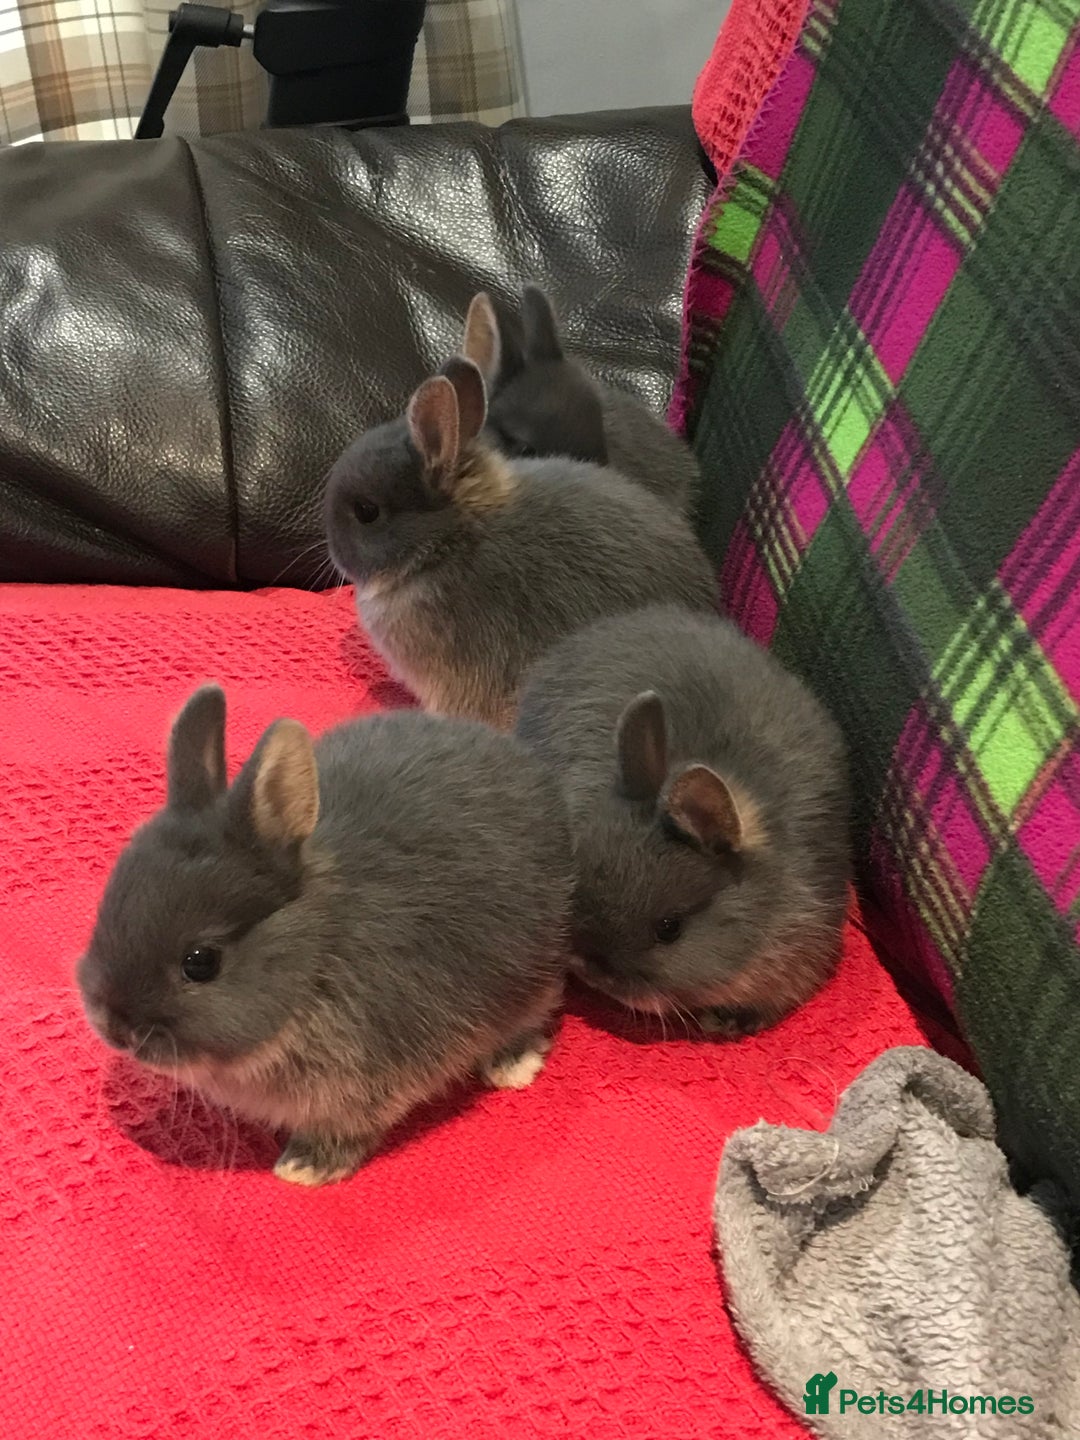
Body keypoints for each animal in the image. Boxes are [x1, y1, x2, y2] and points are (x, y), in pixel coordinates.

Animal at [77, 685, 572, 1187]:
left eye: (200, 961)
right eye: (110, 902)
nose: (115, 1027)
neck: (315, 956)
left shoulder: (364, 1086)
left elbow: (346, 1130)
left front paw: (304, 1168)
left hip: (532, 969)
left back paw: (511, 1066)